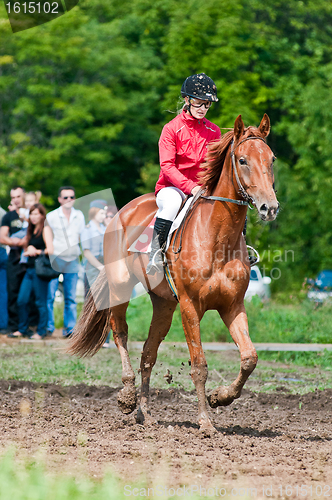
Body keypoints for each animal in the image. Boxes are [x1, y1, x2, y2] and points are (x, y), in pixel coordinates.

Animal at [68, 113, 278, 434]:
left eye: (271, 159)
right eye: (242, 160)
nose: (270, 207)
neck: (218, 238)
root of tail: (121, 212)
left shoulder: (232, 306)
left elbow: (249, 358)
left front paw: (221, 398)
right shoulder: (190, 307)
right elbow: (199, 364)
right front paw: (205, 421)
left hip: (164, 304)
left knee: (148, 354)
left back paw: (144, 413)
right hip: (121, 288)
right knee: (120, 333)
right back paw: (127, 397)